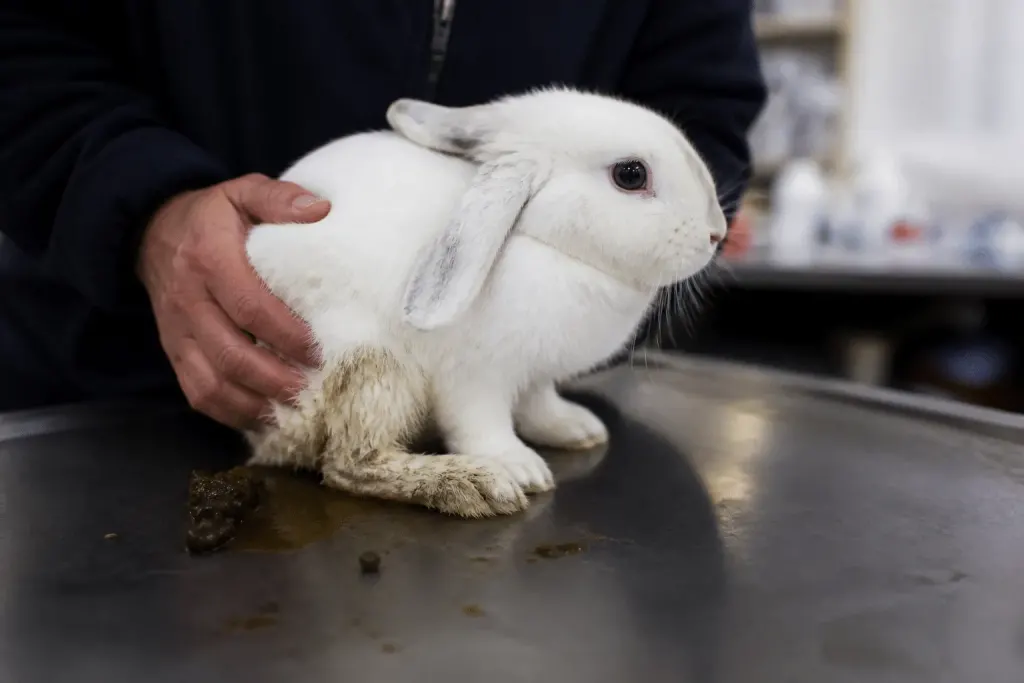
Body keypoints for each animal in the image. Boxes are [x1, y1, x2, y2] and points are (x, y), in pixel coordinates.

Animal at [242, 86, 727, 518]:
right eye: (630, 174)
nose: (717, 234)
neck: (549, 247)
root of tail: (264, 442)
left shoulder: (536, 377)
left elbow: (539, 405)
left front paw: (577, 429)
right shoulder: (473, 379)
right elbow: (481, 425)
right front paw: (522, 468)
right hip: (371, 367)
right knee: (349, 462)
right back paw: (473, 485)